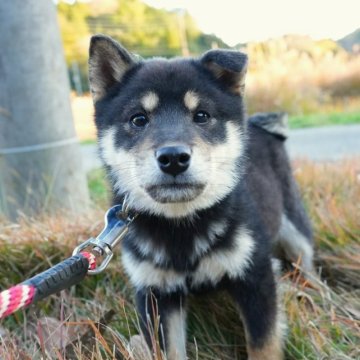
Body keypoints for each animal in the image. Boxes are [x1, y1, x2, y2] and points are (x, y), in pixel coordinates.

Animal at [88, 34, 314, 360]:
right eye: (139, 119)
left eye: (202, 116)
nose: (173, 158)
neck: (183, 228)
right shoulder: (156, 294)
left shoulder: (256, 277)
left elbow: (263, 346)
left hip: (295, 230)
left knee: (307, 263)